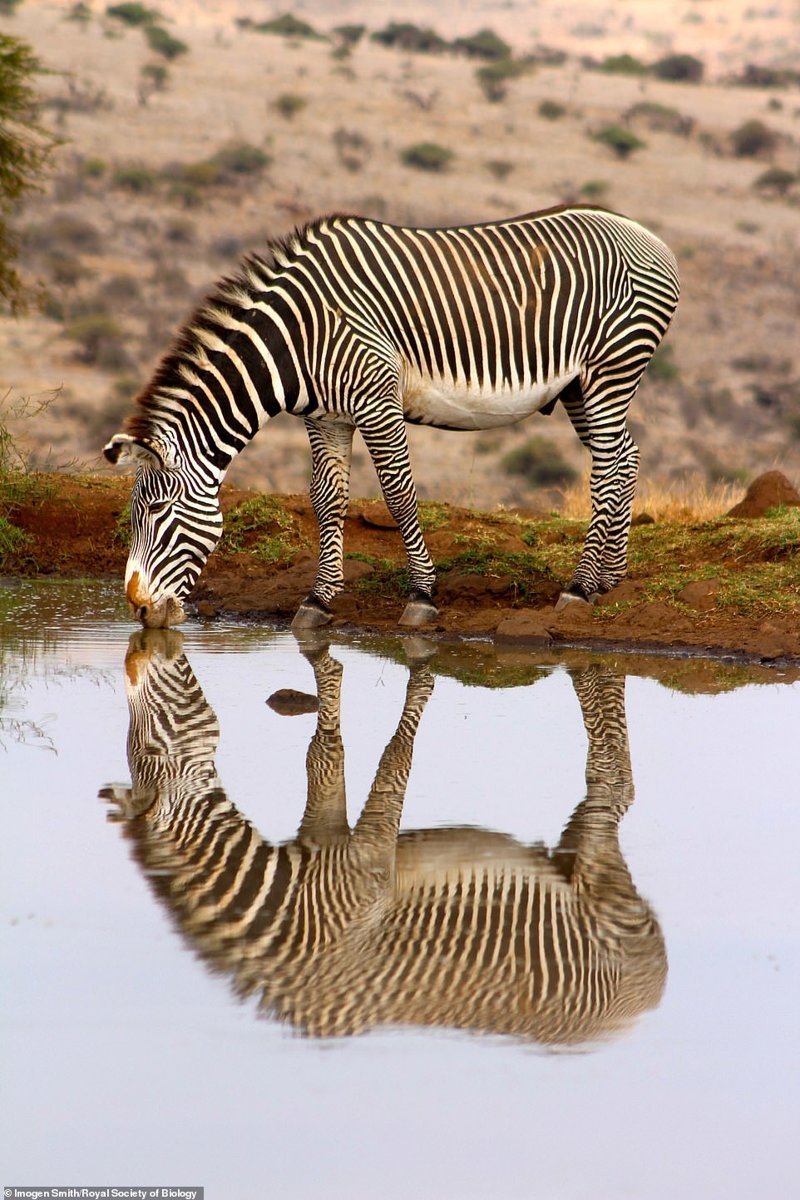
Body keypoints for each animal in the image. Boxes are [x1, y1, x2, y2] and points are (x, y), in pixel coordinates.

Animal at [100, 638, 666, 1041]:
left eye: (149, 741)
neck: (292, 905)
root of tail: (644, 1003)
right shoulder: (322, 836)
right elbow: (323, 759)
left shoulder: (367, 866)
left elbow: (394, 761)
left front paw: (421, 679)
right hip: (568, 856)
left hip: (602, 878)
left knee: (614, 797)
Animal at [101, 207, 681, 633]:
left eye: (157, 512)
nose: (139, 611)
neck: (298, 336)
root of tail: (646, 234)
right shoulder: (327, 417)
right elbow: (326, 500)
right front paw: (318, 600)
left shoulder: (378, 401)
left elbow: (399, 496)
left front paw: (422, 597)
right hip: (580, 386)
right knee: (623, 456)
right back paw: (611, 580)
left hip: (612, 368)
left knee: (607, 466)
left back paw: (580, 587)